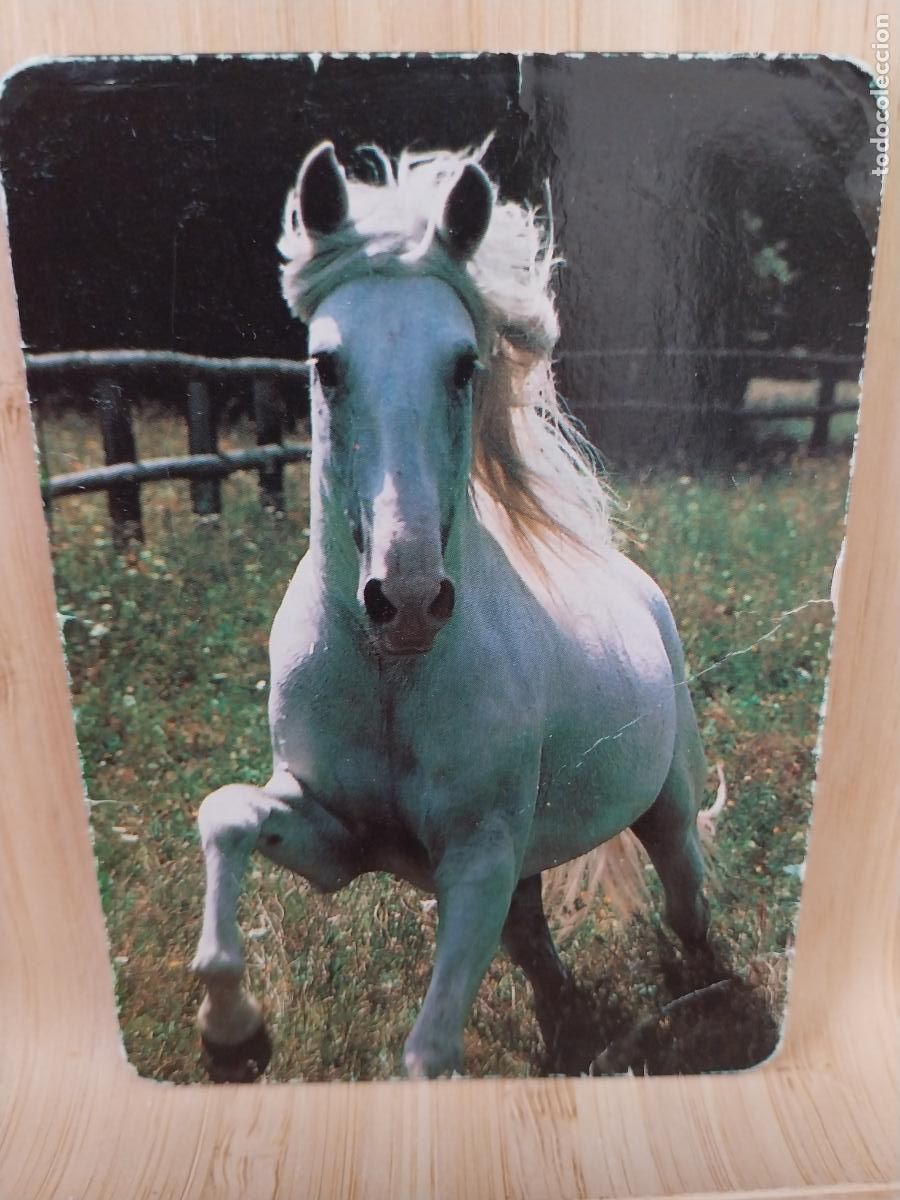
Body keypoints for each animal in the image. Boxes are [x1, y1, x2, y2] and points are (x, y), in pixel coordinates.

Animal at [190, 141, 712, 1081]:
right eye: (325, 364)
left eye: (464, 364)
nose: (405, 601)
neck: (392, 676)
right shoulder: (338, 838)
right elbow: (228, 814)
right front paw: (233, 1033)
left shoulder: (476, 861)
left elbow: (428, 1053)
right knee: (537, 944)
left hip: (667, 812)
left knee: (687, 900)